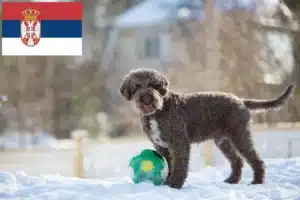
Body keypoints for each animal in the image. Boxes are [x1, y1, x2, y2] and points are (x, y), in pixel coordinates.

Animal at [119, 68, 292, 188]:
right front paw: (167, 181)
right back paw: (232, 180)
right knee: (237, 161)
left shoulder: (179, 143)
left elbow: (179, 165)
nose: (147, 97)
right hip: (224, 141)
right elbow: (169, 165)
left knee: (255, 159)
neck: (158, 111)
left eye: (154, 85)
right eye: (137, 86)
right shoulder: (162, 146)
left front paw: (175, 184)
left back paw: (257, 181)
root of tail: (241, 101)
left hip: (240, 136)